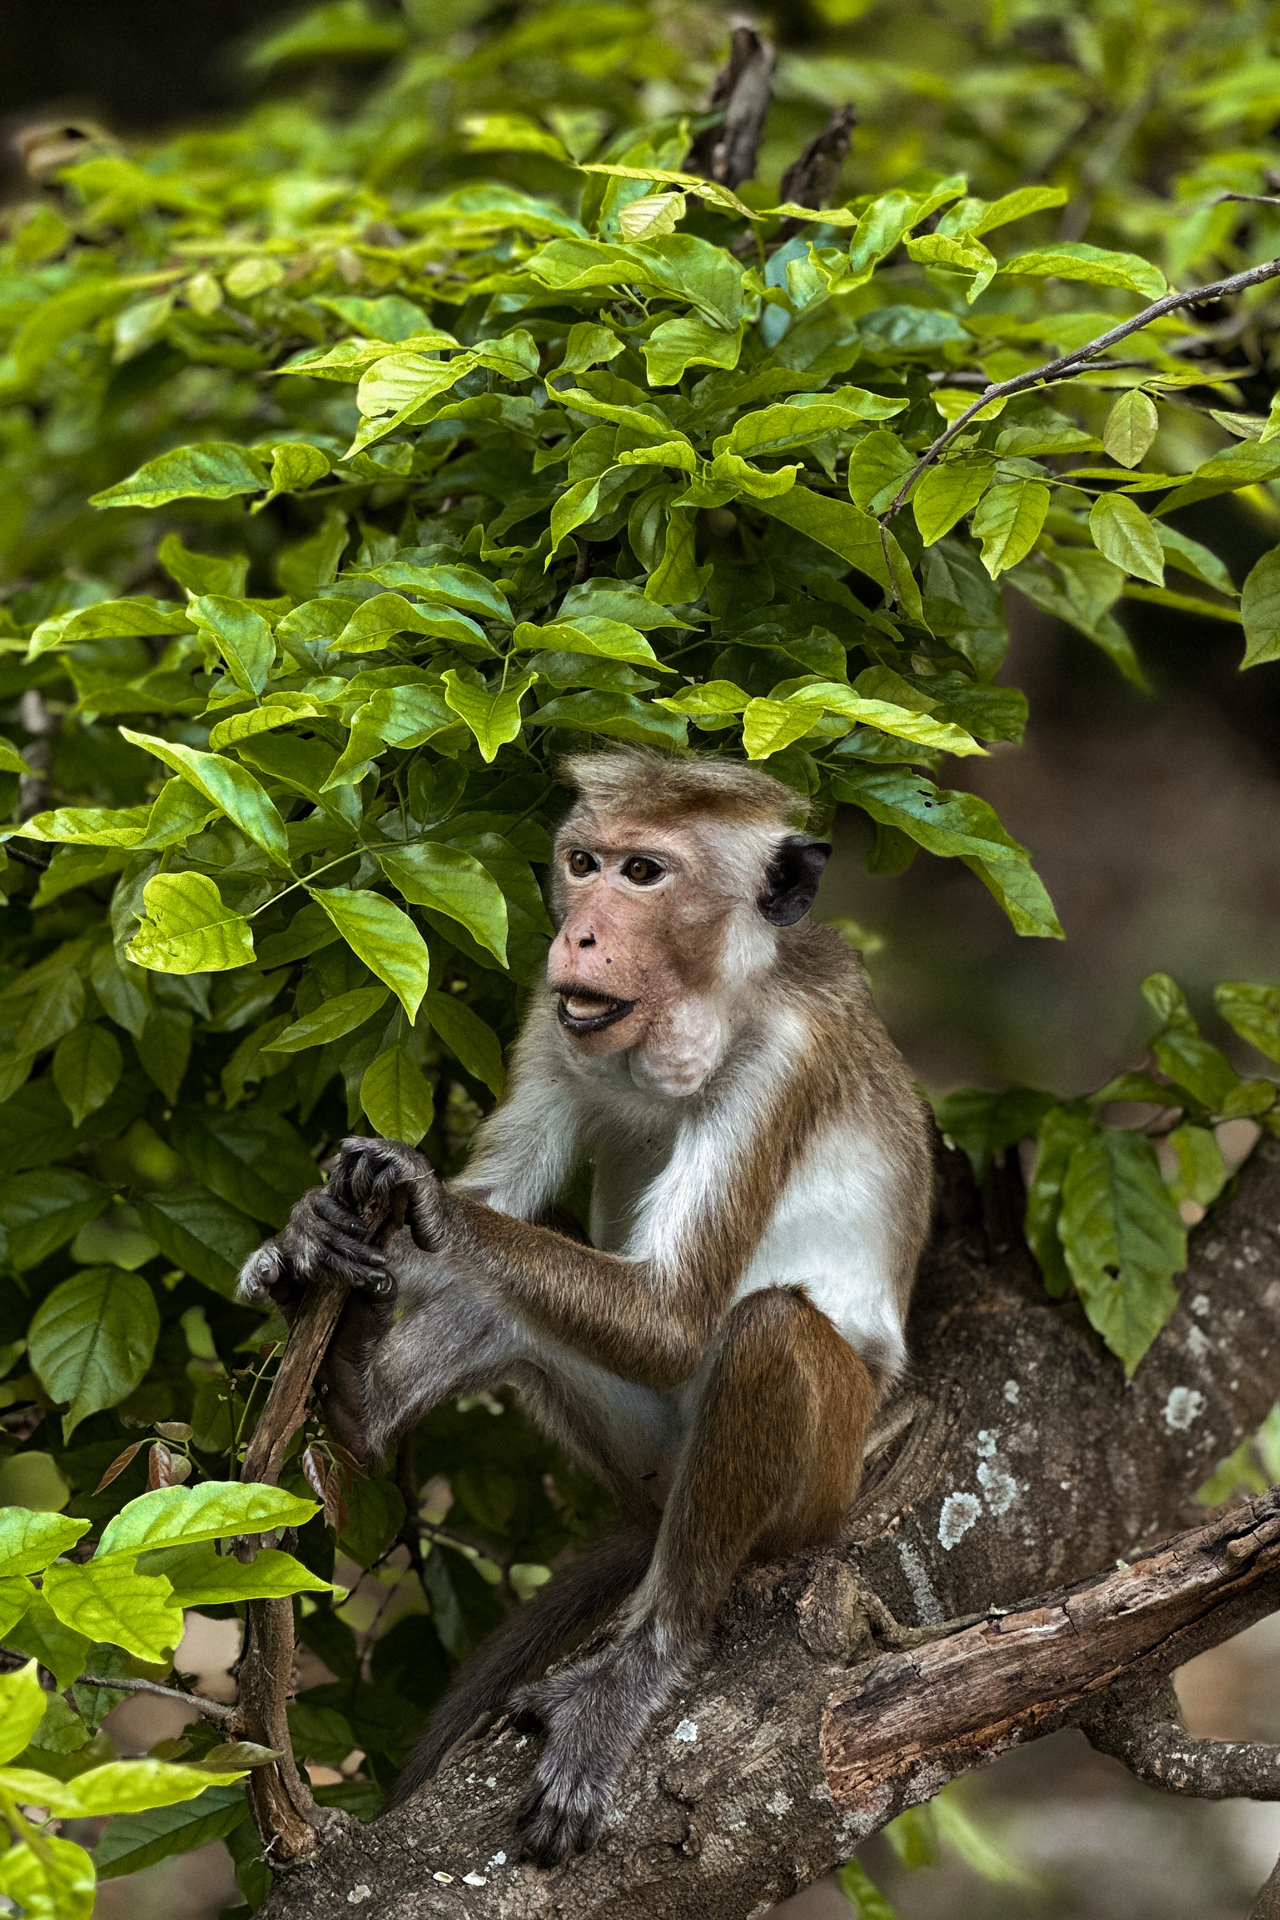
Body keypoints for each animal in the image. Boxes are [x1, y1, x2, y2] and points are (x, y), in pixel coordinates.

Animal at [239, 748, 934, 1865]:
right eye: (584, 862)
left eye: (644, 872)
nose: (578, 932)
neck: (704, 1008)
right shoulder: (550, 1016)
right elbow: (505, 1203)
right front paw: (311, 1232)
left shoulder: (780, 1062)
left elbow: (674, 1317)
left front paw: (422, 1197)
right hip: (639, 1449)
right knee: (517, 1301)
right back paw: (355, 1397)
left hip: (821, 1484)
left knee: (766, 1334)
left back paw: (644, 1660)